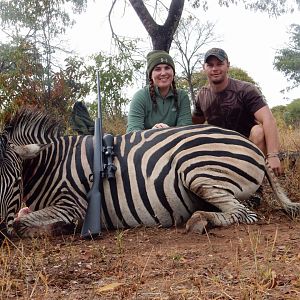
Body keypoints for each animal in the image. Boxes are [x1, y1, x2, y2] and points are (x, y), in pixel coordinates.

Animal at [0, 108, 298, 239]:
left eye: (16, 181)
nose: (0, 232)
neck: (52, 164)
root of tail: (253, 147)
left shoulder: (73, 205)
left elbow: (23, 222)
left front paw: (53, 228)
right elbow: (24, 217)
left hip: (195, 170)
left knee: (243, 214)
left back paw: (199, 220)